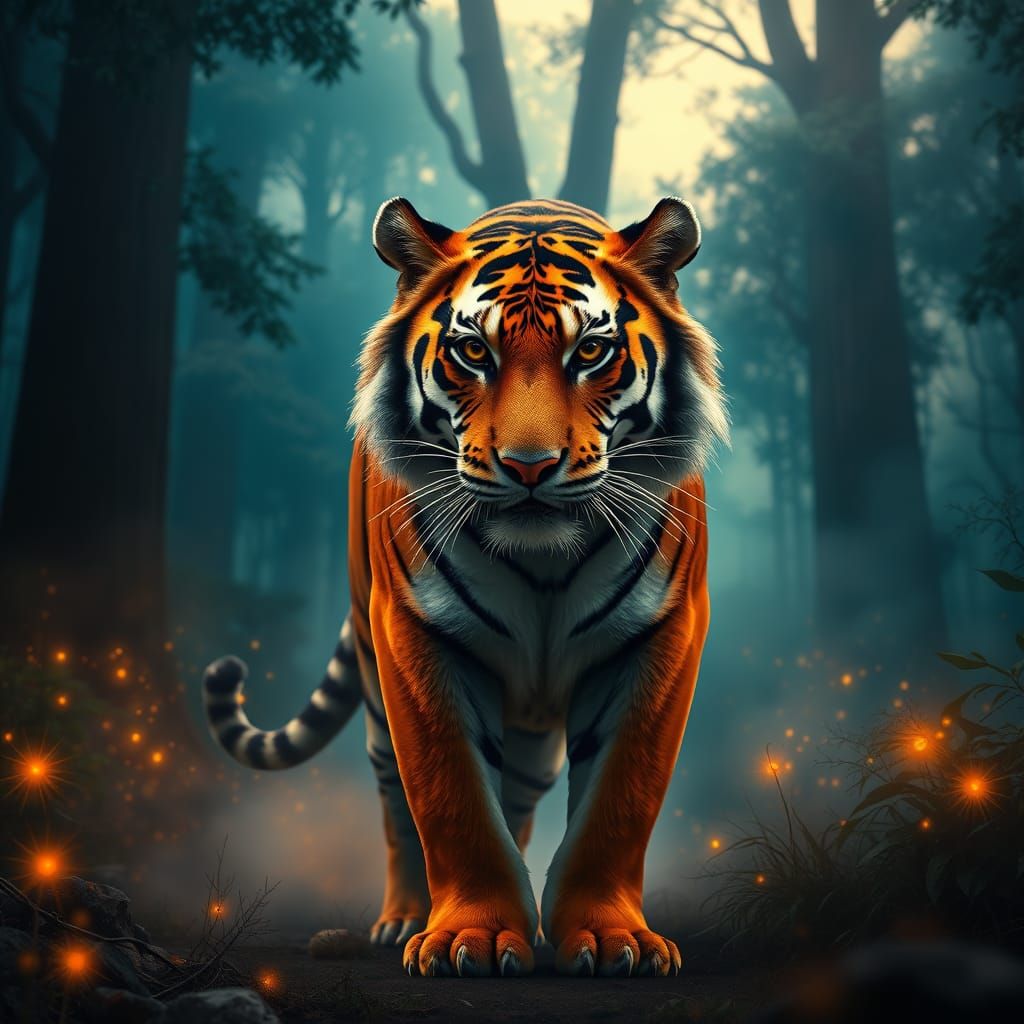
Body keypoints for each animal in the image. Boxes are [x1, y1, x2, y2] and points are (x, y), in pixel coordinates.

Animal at [203, 195, 728, 979]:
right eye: (474, 352)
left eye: (590, 352)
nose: (530, 465)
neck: (544, 566)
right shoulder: (417, 633)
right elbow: (450, 796)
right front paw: (468, 937)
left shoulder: (660, 633)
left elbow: (619, 800)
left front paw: (609, 939)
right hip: (375, 677)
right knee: (396, 802)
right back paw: (403, 918)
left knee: (519, 794)